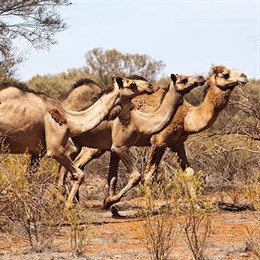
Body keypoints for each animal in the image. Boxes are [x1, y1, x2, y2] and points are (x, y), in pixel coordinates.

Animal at [0, 75, 152, 207]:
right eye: (131, 83)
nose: (150, 86)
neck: (71, 119)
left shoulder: (37, 152)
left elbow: (29, 179)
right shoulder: (55, 149)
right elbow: (79, 174)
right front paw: (67, 207)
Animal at [58, 73, 205, 211]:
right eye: (184, 79)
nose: (201, 78)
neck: (141, 121)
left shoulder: (175, 144)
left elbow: (113, 177)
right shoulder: (123, 146)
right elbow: (137, 176)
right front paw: (108, 202)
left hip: (76, 145)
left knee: (67, 170)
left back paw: (70, 203)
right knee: (68, 169)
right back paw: (69, 204)